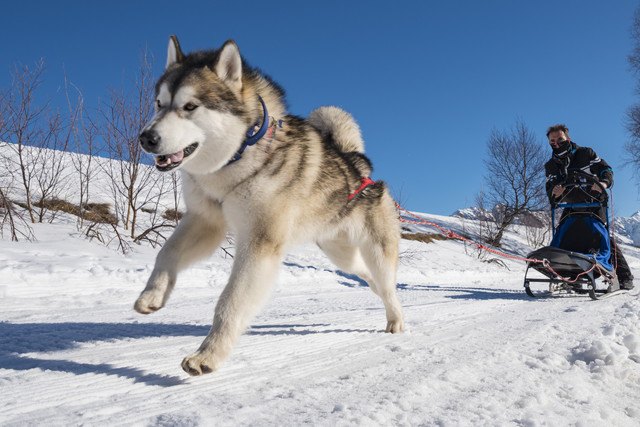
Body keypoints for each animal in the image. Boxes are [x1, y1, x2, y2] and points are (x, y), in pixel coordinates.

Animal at [136, 36, 404, 378]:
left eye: (190, 106)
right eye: (159, 103)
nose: (146, 138)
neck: (241, 156)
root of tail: (360, 169)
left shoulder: (259, 242)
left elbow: (231, 301)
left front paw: (208, 354)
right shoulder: (206, 221)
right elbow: (166, 253)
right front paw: (152, 295)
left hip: (376, 250)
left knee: (388, 285)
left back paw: (396, 321)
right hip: (339, 252)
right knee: (368, 277)